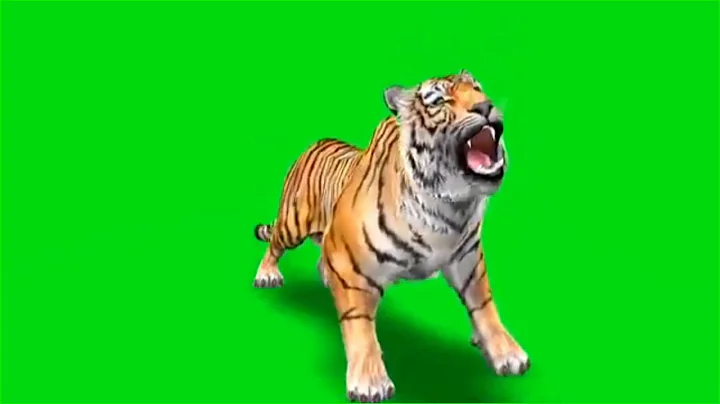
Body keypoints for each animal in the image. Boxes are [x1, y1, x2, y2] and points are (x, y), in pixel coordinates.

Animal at [253, 70, 529, 402]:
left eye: (477, 88)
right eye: (439, 101)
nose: (485, 106)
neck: (449, 208)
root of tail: (316, 142)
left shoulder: (467, 257)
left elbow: (484, 305)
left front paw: (506, 352)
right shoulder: (349, 263)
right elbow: (359, 324)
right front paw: (370, 382)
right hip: (294, 223)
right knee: (275, 243)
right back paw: (267, 274)